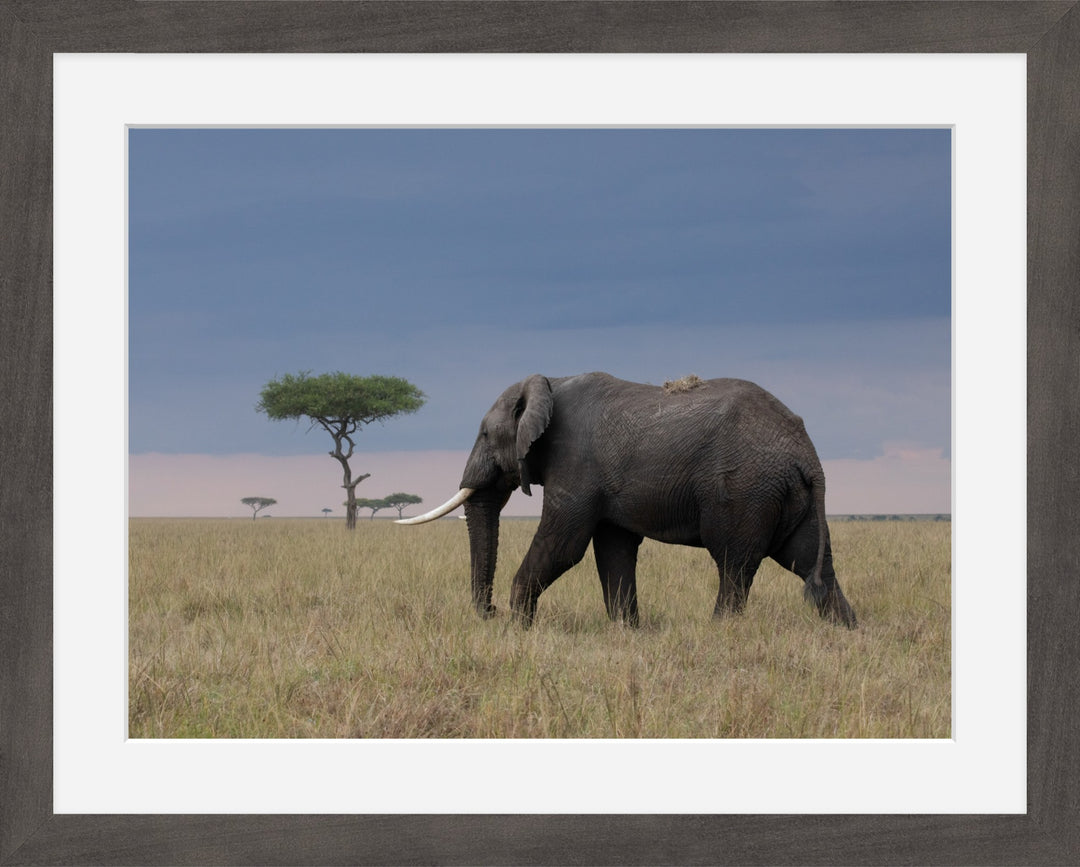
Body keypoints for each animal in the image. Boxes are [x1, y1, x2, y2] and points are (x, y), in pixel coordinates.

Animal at [399, 372, 856, 629]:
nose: (490, 613)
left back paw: (720, 632)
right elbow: (613, 549)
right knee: (810, 563)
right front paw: (626, 630)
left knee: (734, 565)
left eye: (484, 434)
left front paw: (518, 629)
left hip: (746, 490)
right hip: (786, 494)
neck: (549, 381)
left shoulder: (575, 463)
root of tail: (807, 454)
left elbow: (563, 546)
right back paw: (846, 632)